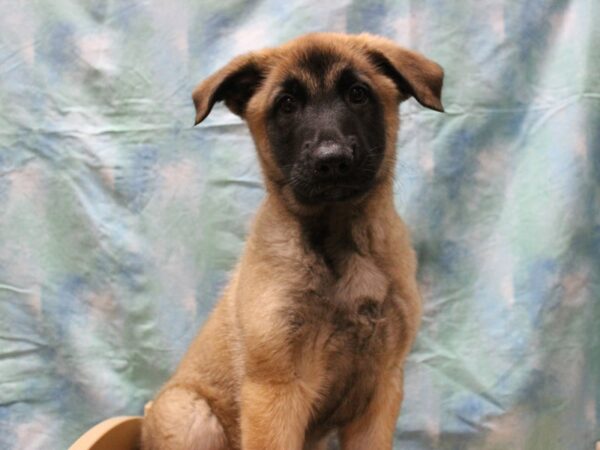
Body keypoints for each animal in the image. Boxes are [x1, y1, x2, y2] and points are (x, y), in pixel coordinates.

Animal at [139, 32, 440, 450]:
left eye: (358, 94)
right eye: (287, 104)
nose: (332, 160)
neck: (340, 242)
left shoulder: (381, 389)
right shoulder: (275, 391)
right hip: (186, 412)